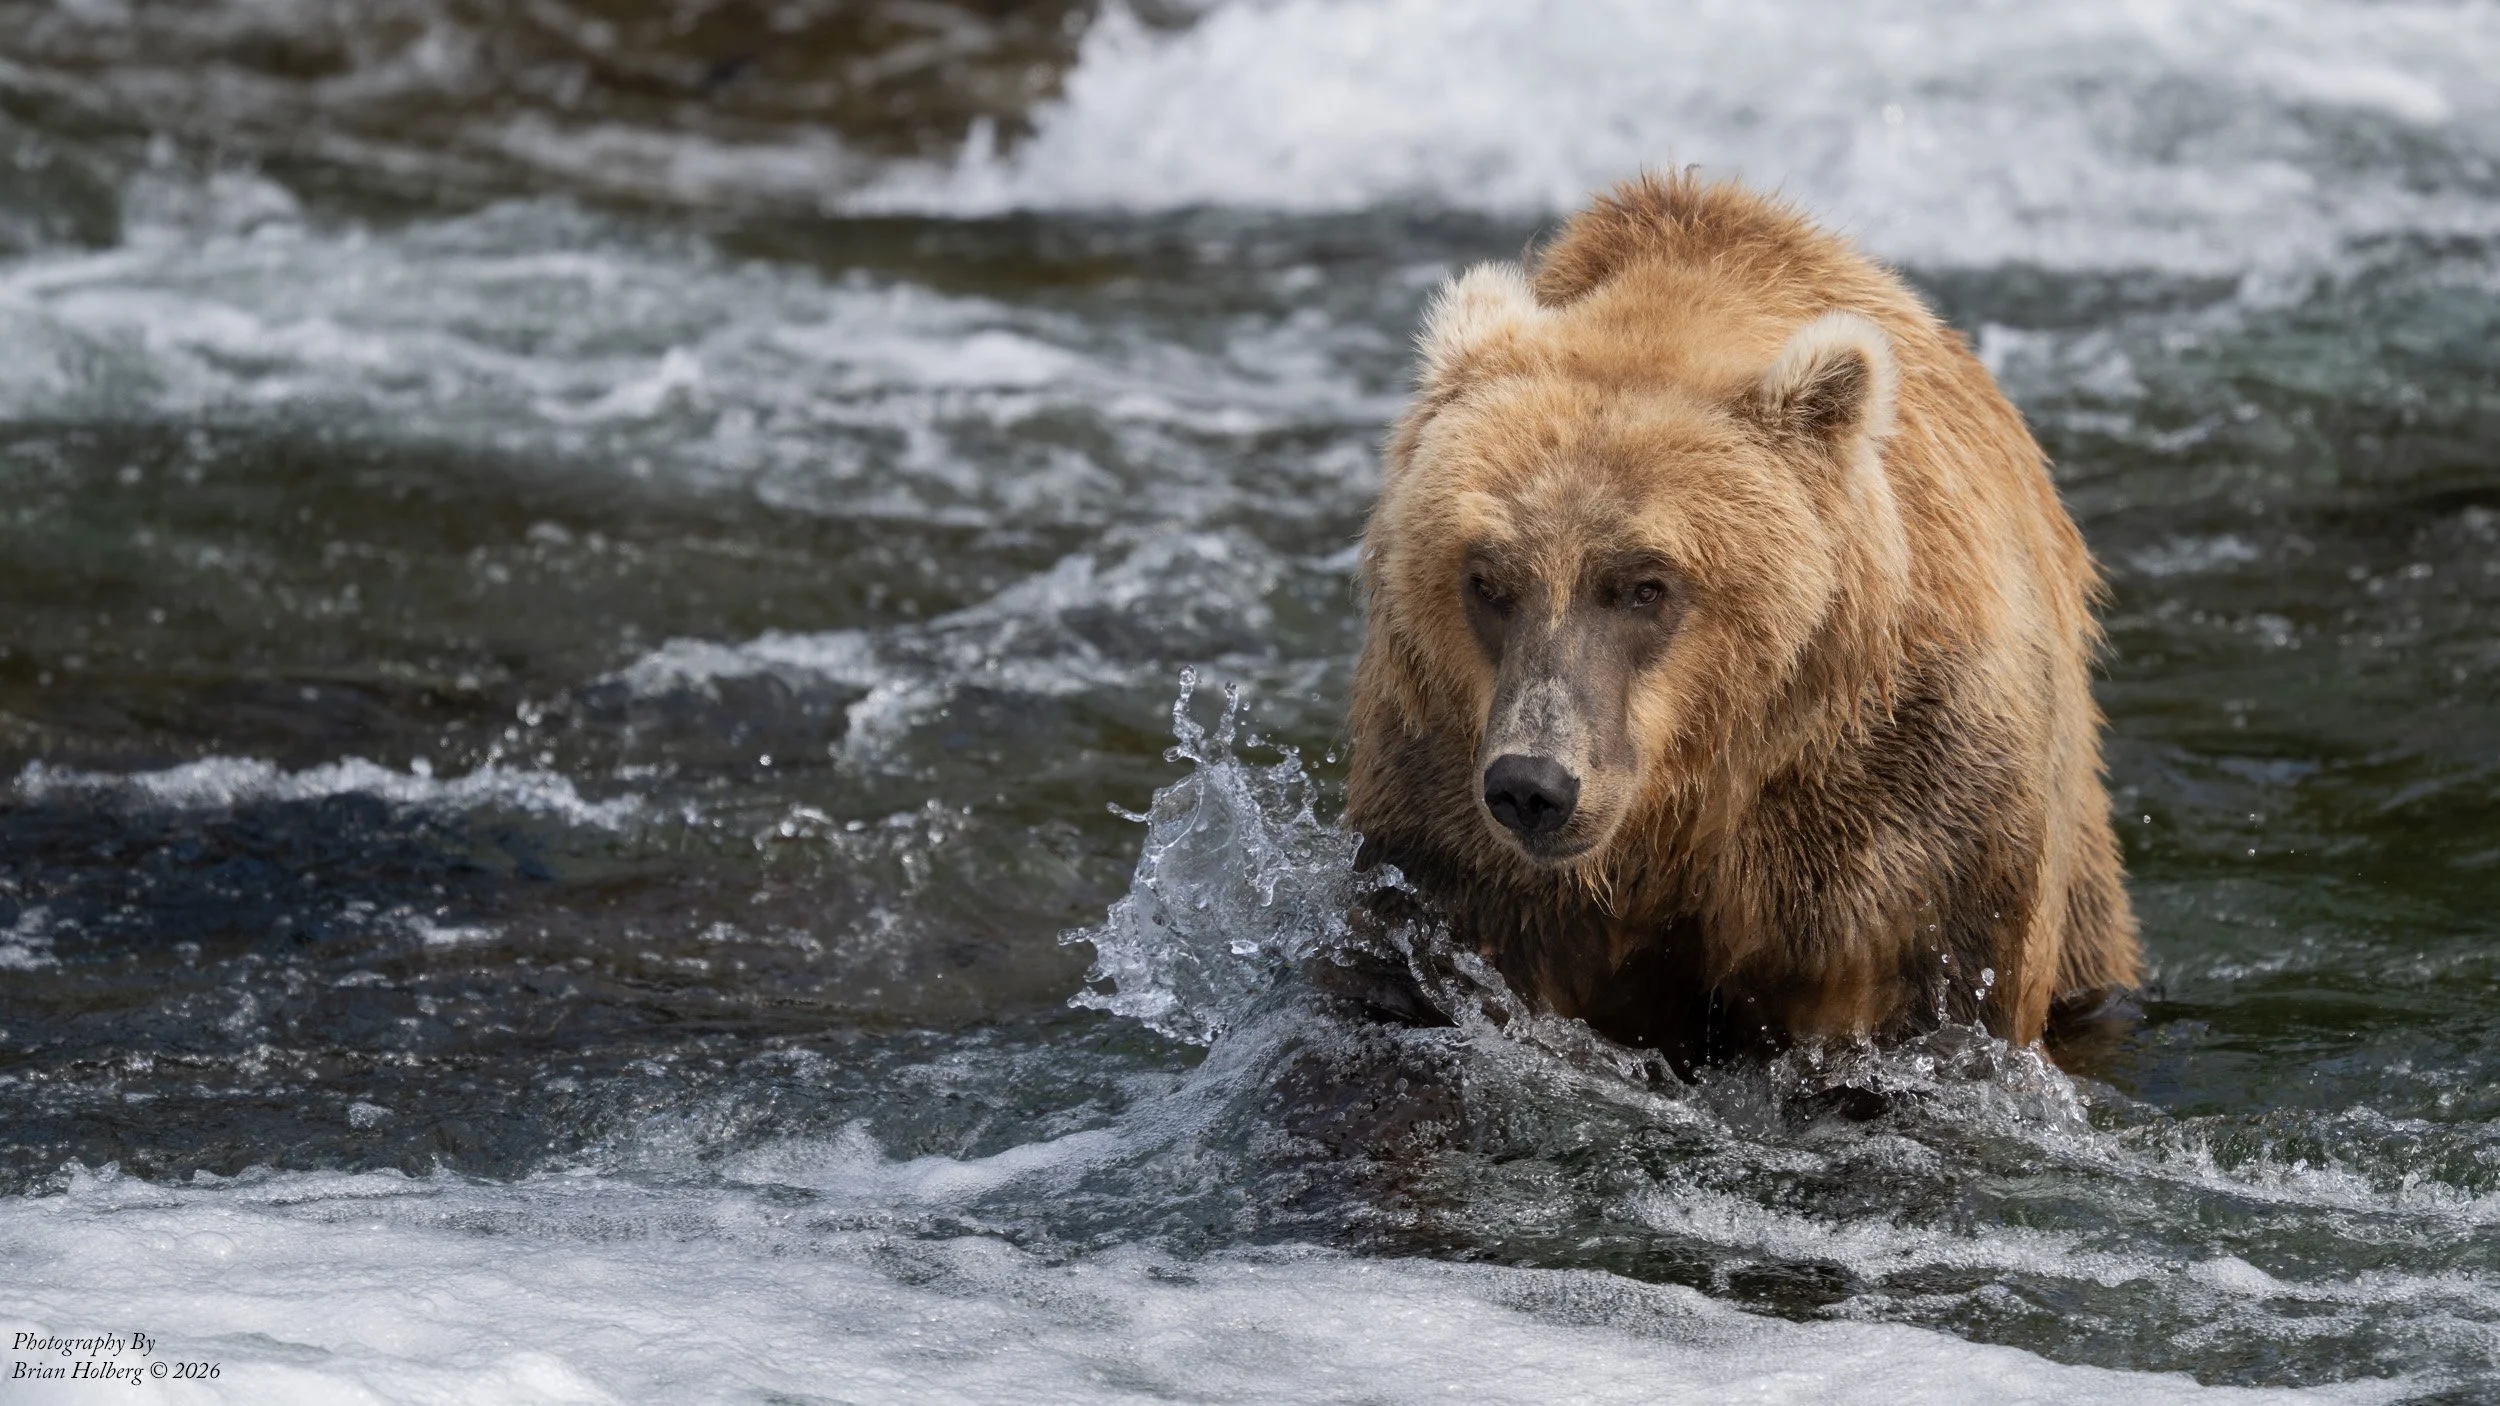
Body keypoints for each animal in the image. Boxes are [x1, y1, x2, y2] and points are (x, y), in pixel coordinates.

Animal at [1342, 172, 2140, 1069]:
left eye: (1644, 585)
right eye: (1486, 579)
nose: (1534, 784)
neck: (1689, 794)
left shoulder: (1896, 794)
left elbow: (1925, 993)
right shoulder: (1444, 778)